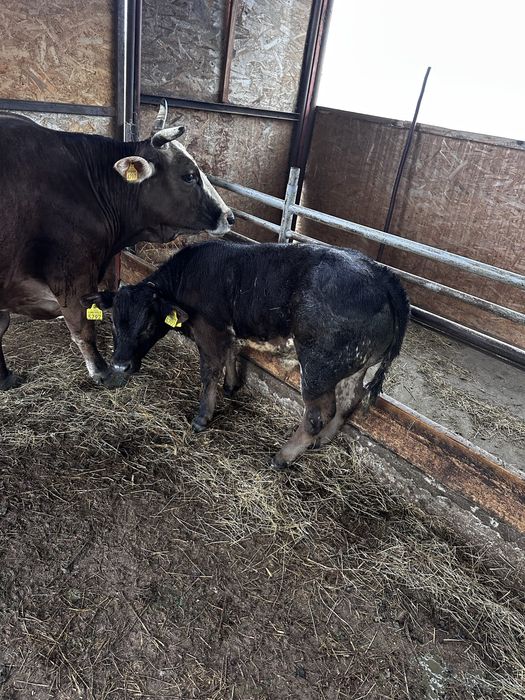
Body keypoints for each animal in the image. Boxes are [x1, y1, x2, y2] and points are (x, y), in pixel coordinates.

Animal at [0, 103, 234, 390]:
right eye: (189, 176)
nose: (229, 216)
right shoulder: (72, 273)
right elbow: (84, 329)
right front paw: (104, 372)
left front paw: (4, 377)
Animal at [83, 240, 410, 467]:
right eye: (113, 322)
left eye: (148, 324)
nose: (120, 365)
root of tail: (381, 275)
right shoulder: (227, 331)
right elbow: (231, 354)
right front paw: (231, 386)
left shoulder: (208, 331)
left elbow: (209, 373)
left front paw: (202, 417)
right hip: (356, 366)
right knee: (349, 401)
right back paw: (323, 440)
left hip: (318, 367)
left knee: (318, 413)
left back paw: (283, 456)